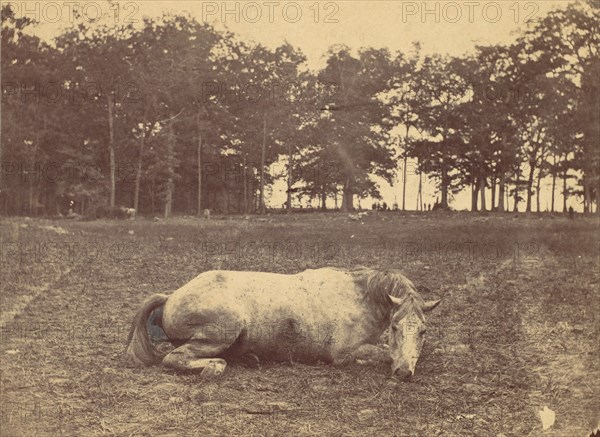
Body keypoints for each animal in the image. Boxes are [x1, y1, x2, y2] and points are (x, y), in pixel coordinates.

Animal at [123, 266, 440, 378]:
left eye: (423, 331)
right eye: (395, 327)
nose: (403, 373)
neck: (360, 297)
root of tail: (171, 297)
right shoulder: (343, 354)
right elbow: (381, 353)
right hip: (220, 332)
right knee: (175, 358)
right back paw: (214, 367)